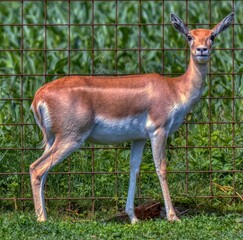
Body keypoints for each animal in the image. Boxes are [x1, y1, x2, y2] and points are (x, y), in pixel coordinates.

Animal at [29, 12, 234, 223]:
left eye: (212, 36)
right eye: (189, 36)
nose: (202, 50)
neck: (175, 89)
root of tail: (39, 96)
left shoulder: (139, 138)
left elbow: (134, 169)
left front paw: (133, 217)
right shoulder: (158, 131)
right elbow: (161, 168)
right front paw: (173, 216)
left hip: (52, 139)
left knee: (41, 170)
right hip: (71, 138)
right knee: (36, 168)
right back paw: (42, 219)